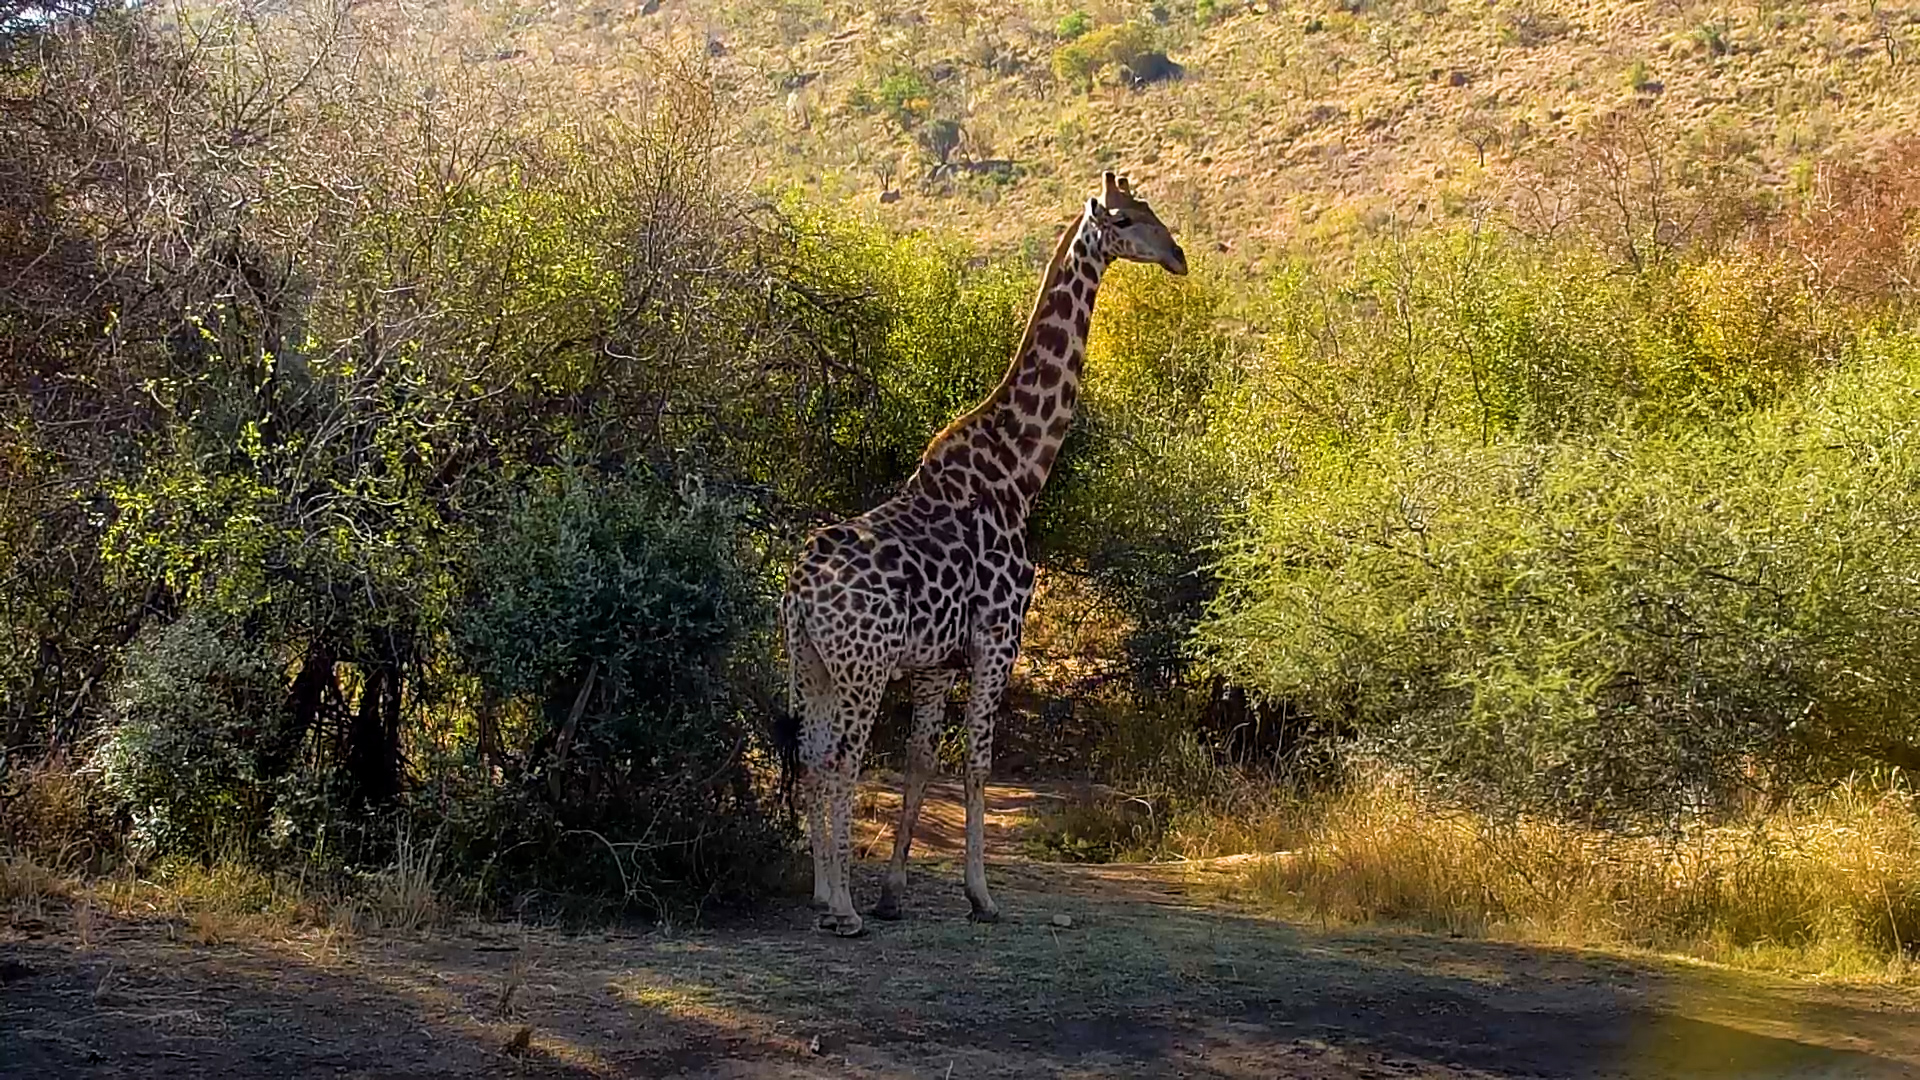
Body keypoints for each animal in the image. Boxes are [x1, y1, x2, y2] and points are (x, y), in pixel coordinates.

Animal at [781, 171, 1188, 937]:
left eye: (1153, 210)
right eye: (1125, 219)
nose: (1178, 256)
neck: (1021, 471)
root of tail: (796, 593)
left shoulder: (936, 659)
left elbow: (919, 764)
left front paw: (894, 893)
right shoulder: (1000, 636)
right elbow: (976, 765)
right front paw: (981, 896)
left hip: (815, 663)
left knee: (814, 755)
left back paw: (822, 895)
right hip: (863, 668)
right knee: (843, 759)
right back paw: (842, 909)